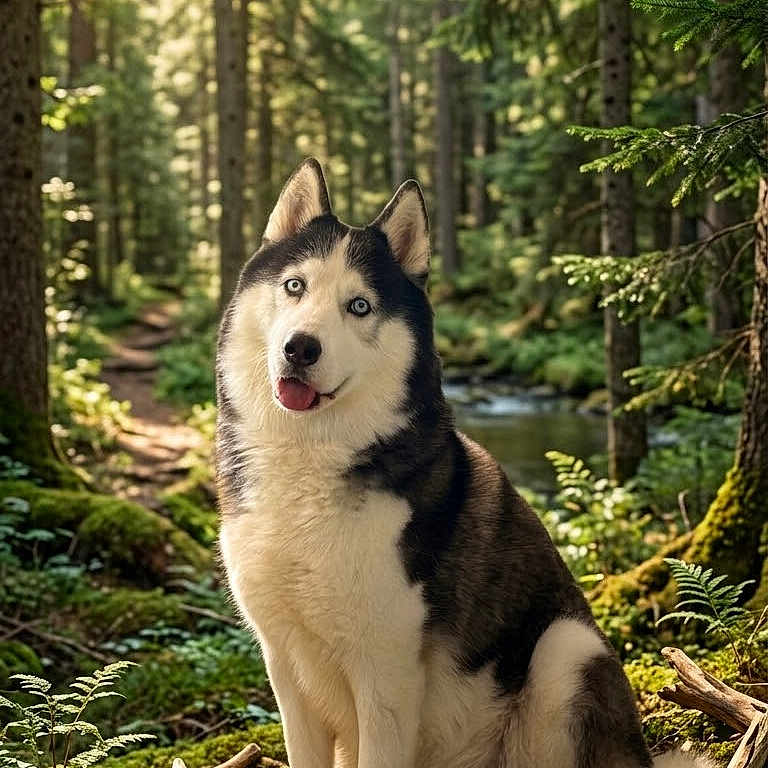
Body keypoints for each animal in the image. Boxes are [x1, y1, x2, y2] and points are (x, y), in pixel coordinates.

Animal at [216, 158, 712, 768]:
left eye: (359, 306)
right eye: (294, 286)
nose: (300, 348)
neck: (309, 457)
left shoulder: (385, 675)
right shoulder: (285, 666)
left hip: (566, 651)